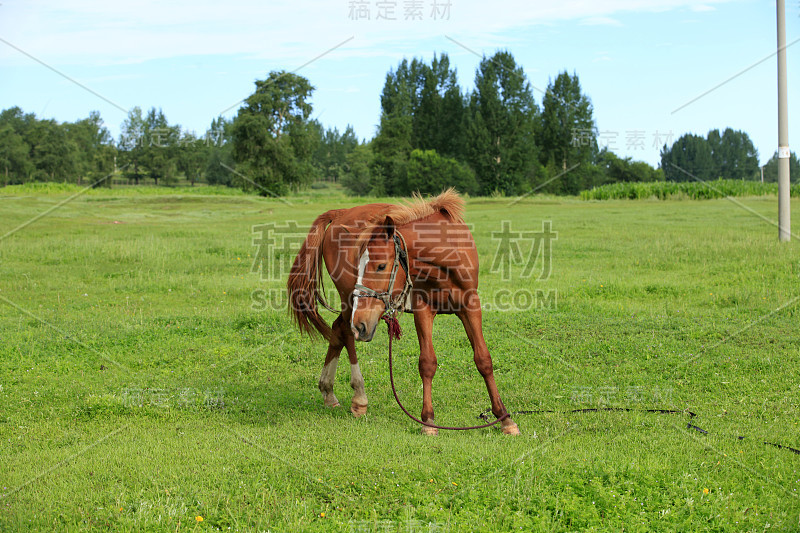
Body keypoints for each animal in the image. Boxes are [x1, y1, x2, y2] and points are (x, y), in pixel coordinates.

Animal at [286, 189, 520, 434]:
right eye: (358, 264)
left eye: (381, 266)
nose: (362, 325)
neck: (448, 257)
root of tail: (340, 213)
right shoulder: (423, 309)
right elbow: (427, 362)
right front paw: (428, 420)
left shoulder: (471, 307)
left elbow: (483, 359)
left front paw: (505, 418)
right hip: (350, 301)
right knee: (347, 333)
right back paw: (359, 397)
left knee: (340, 329)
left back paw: (328, 391)